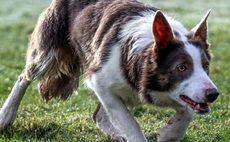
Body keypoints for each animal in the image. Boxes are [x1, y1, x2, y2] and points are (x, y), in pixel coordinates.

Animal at [0, 0, 219, 141]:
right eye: (181, 67)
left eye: (206, 66)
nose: (214, 94)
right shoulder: (99, 80)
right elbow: (130, 123)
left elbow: (187, 112)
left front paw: (168, 134)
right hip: (48, 50)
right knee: (24, 77)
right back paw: (6, 115)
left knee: (99, 115)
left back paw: (116, 135)